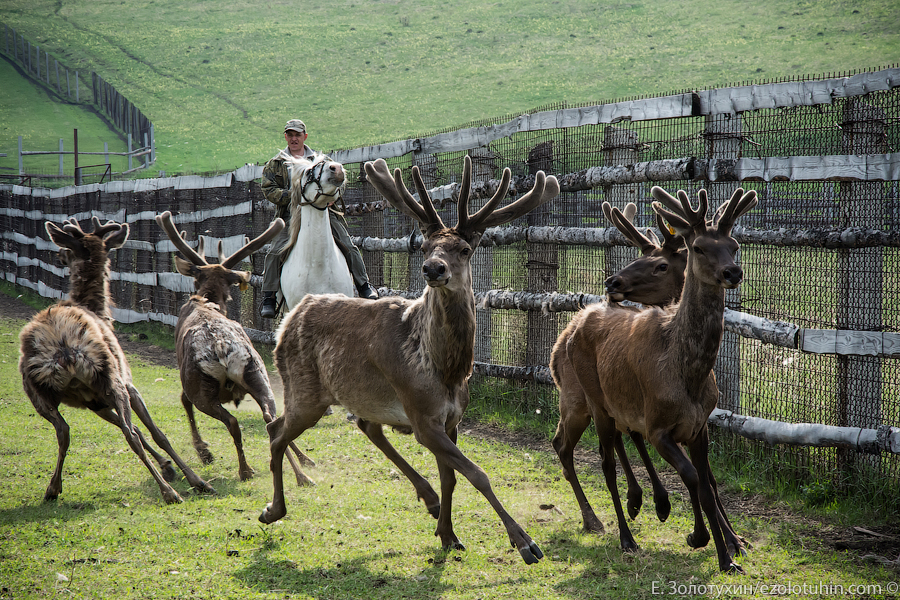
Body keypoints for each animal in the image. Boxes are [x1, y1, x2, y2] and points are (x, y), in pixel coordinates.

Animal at [18, 216, 215, 502]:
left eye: (69, 249)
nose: (59, 255)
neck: (97, 309)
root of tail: (62, 346)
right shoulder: (128, 384)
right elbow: (155, 433)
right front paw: (190, 477)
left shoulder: (93, 401)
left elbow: (139, 430)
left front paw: (168, 467)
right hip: (109, 375)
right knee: (128, 434)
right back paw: (171, 492)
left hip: (39, 392)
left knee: (64, 431)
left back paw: (53, 488)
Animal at [157, 213, 316, 486]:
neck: (207, 301)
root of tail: (221, 347)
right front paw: (306, 459)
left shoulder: (186, 379)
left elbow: (183, 401)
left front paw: (204, 452)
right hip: (257, 371)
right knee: (271, 417)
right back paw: (302, 475)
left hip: (201, 388)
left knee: (230, 420)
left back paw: (245, 470)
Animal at [552, 186, 756, 572]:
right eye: (698, 247)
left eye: (734, 245)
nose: (732, 272)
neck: (689, 376)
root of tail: (569, 332)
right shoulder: (658, 427)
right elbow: (692, 477)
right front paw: (700, 537)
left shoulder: (700, 427)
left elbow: (708, 484)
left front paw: (730, 551)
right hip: (591, 401)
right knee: (598, 459)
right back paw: (622, 533)